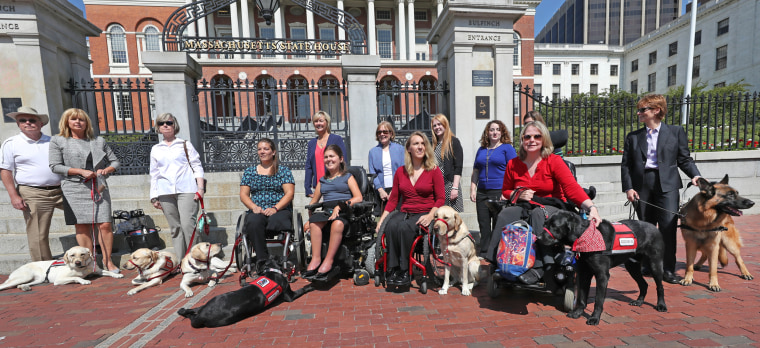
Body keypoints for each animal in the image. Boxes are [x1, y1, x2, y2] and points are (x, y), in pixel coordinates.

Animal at [177, 256, 314, 328]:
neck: (271, 270)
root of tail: (202, 315)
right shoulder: (289, 294)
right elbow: (301, 290)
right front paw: (310, 286)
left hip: (210, 301)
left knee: (193, 309)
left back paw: (182, 310)